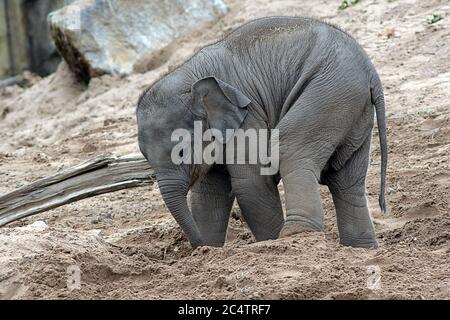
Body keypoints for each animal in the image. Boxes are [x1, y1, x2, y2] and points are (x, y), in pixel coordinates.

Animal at [136, 16, 386, 249]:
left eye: (181, 152)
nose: (197, 245)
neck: (191, 77)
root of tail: (371, 72)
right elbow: (209, 192)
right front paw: (209, 250)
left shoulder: (249, 115)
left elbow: (250, 181)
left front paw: (270, 241)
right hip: (353, 111)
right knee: (346, 179)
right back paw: (360, 248)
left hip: (329, 94)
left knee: (289, 147)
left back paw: (296, 233)